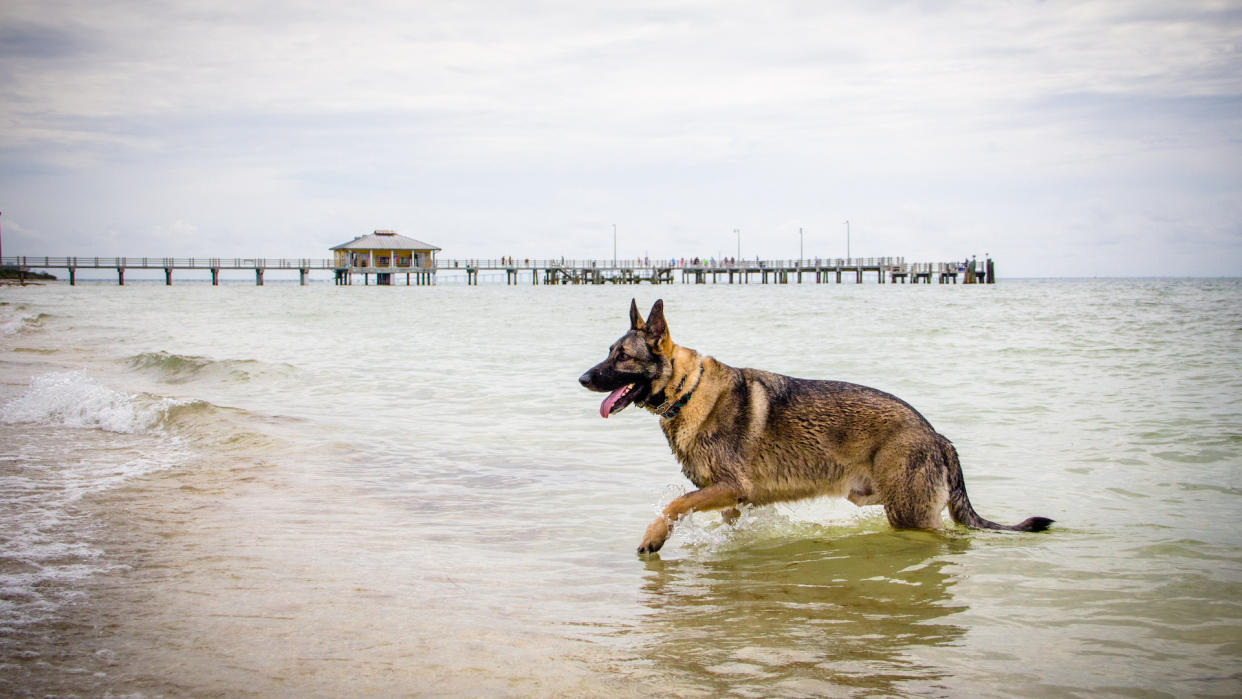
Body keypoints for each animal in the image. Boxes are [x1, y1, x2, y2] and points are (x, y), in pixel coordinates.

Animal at [576, 297, 1053, 556]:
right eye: (610, 352)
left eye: (622, 356)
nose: (582, 379)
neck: (688, 390)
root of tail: (937, 435)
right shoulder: (730, 500)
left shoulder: (731, 487)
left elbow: (674, 505)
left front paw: (654, 536)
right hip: (876, 499)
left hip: (910, 514)